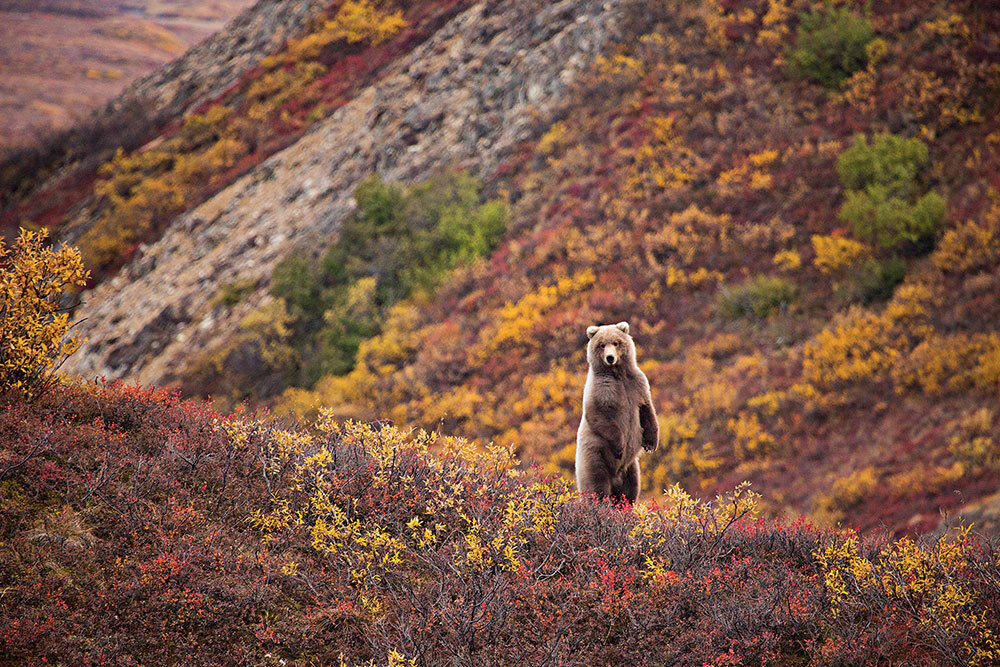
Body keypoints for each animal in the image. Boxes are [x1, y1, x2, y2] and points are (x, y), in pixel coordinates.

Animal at [580, 320, 656, 504]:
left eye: (616, 342)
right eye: (601, 345)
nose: (610, 358)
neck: (618, 375)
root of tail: (616, 477)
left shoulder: (637, 384)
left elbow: (646, 409)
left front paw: (651, 444)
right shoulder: (601, 390)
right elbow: (599, 416)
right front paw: (620, 446)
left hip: (631, 467)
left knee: (631, 489)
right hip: (594, 457)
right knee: (597, 486)